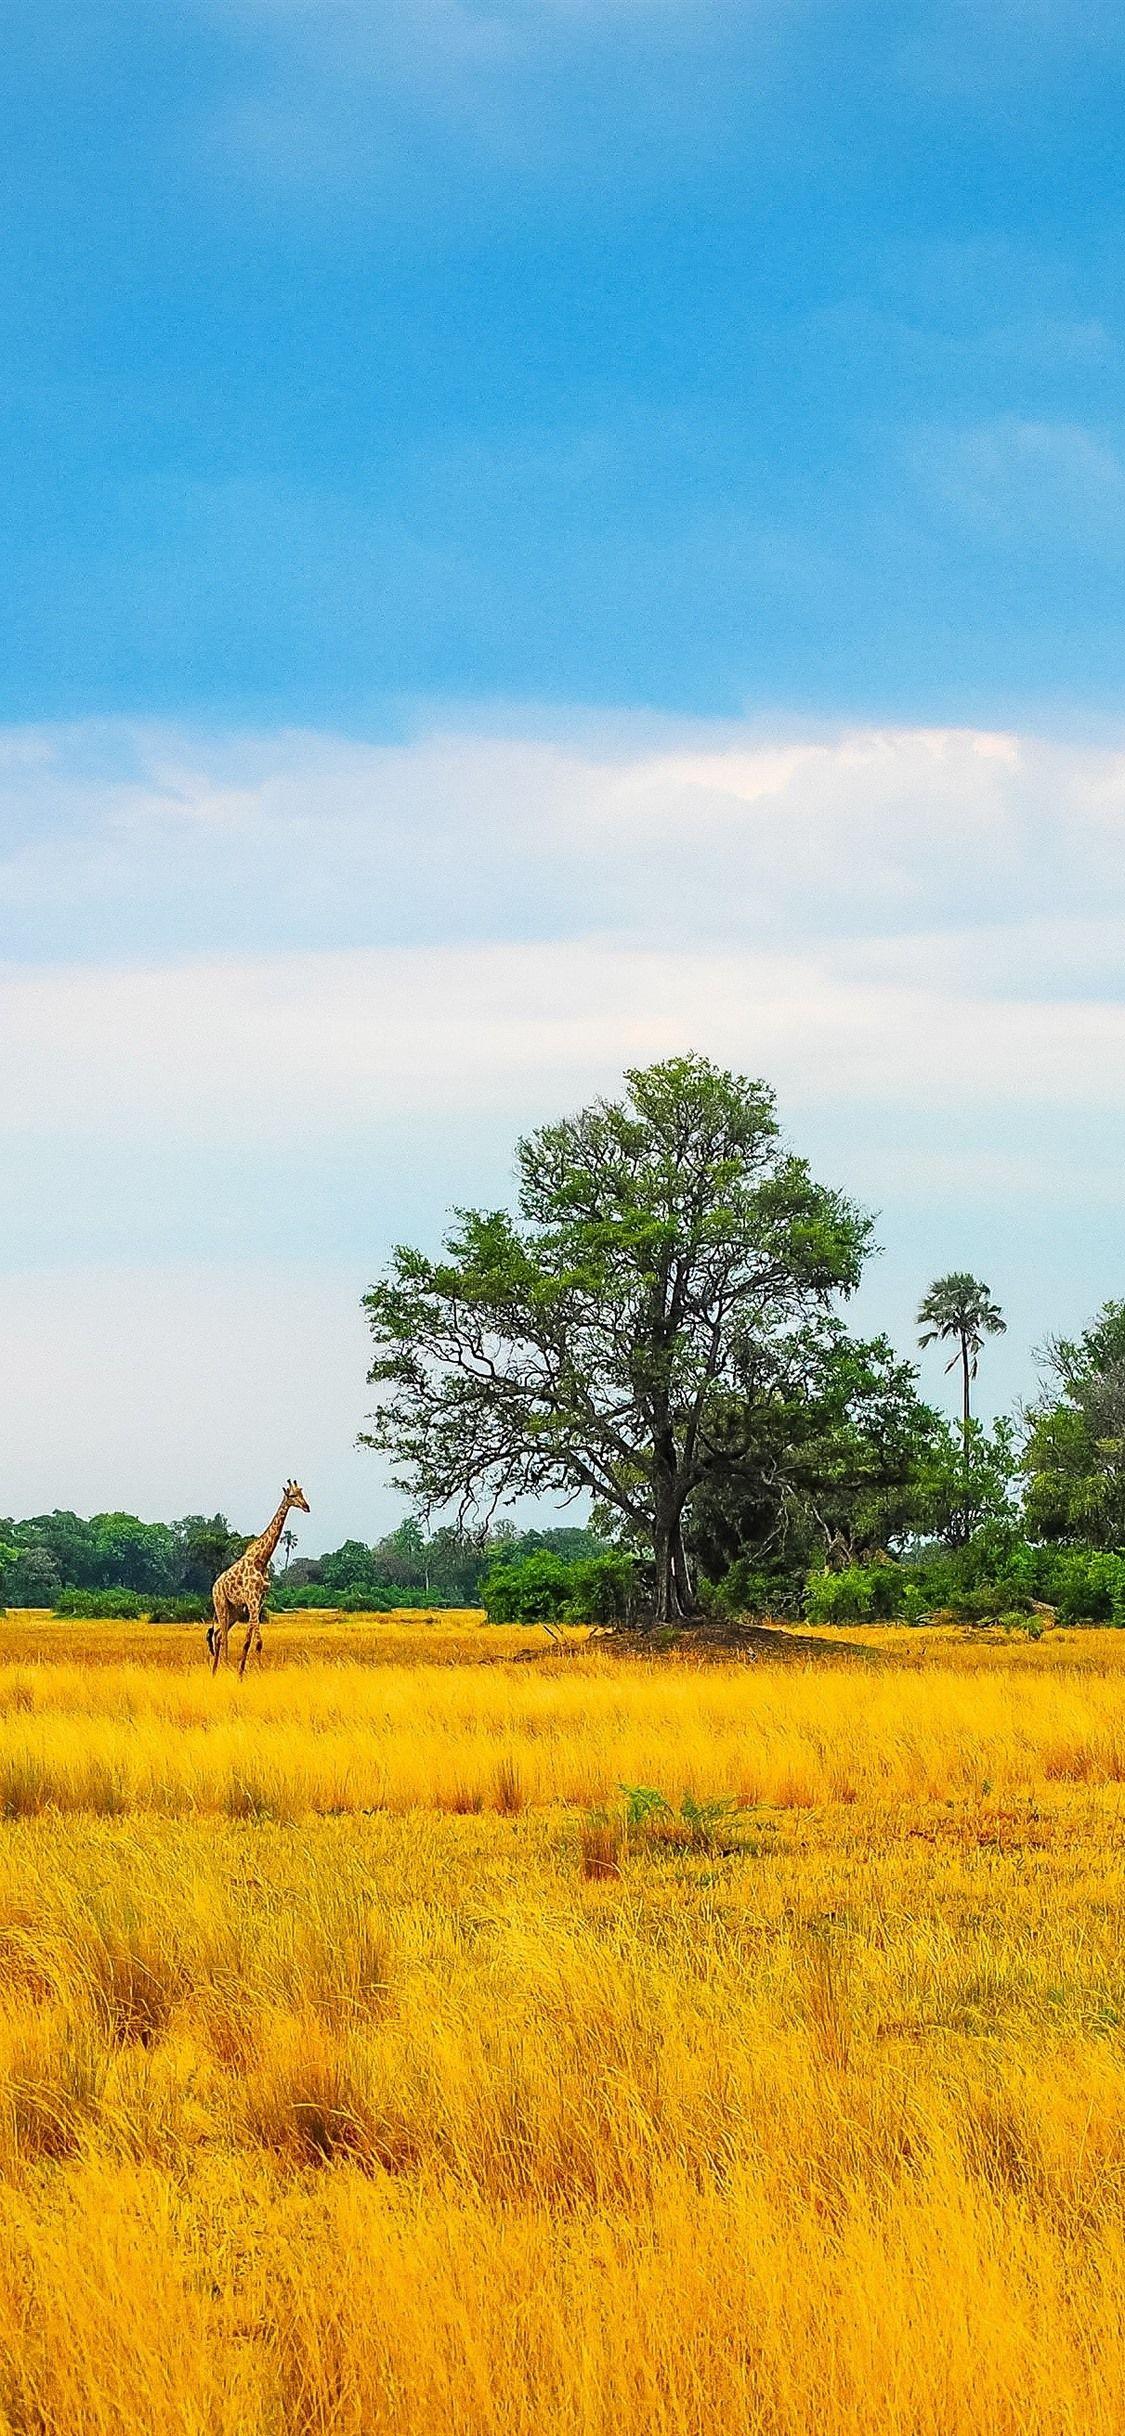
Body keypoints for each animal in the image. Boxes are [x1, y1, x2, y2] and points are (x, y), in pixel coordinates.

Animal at [207, 1480, 310, 1678]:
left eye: (302, 1493)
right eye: (292, 1496)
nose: (307, 1507)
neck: (261, 1559)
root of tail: (215, 1585)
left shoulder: (259, 1600)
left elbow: (248, 1641)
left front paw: (241, 1673)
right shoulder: (252, 1599)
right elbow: (257, 1642)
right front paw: (258, 1672)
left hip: (235, 1610)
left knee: (218, 1635)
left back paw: (216, 1672)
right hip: (221, 1603)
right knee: (222, 1636)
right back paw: (221, 1668)